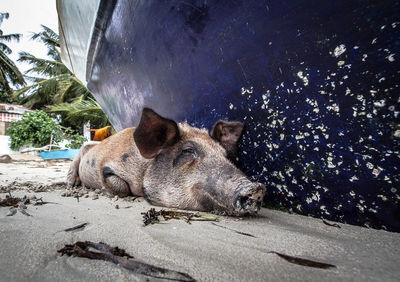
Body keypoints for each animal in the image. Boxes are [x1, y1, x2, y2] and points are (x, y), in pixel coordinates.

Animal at [66, 107, 266, 214]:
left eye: (225, 154)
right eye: (188, 151)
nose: (257, 188)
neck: (144, 167)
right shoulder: (107, 168)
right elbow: (120, 188)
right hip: (81, 151)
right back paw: (71, 184)